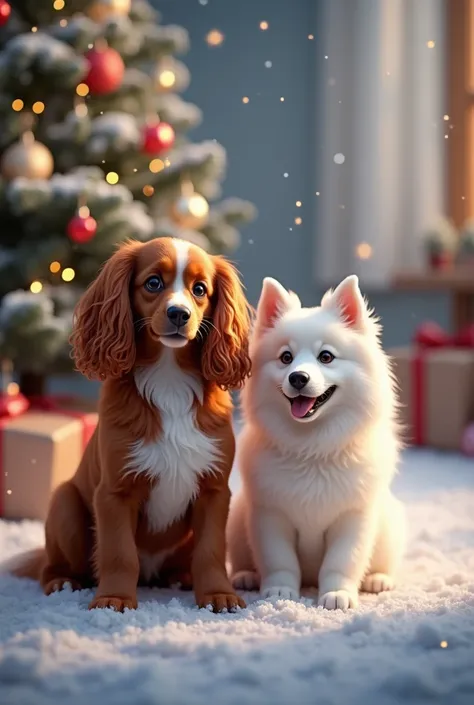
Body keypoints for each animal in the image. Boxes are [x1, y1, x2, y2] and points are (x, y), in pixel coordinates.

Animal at [12, 236, 252, 612]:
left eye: (200, 289)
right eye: (153, 283)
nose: (179, 314)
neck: (169, 379)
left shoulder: (214, 491)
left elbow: (212, 551)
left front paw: (218, 594)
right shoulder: (115, 492)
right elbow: (119, 553)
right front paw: (114, 599)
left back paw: (181, 578)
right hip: (64, 503)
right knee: (50, 566)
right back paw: (63, 582)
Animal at [228, 276, 406, 612]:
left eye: (326, 356)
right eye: (286, 357)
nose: (298, 377)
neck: (313, 449)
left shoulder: (352, 518)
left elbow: (341, 562)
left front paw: (337, 595)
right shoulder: (271, 516)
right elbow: (280, 561)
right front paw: (280, 591)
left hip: (389, 528)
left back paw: (379, 580)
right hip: (237, 519)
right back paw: (245, 576)